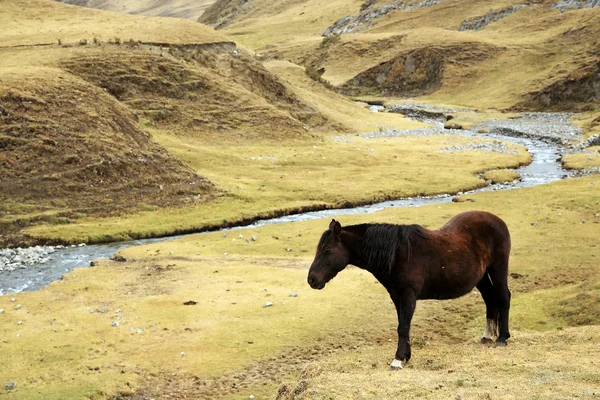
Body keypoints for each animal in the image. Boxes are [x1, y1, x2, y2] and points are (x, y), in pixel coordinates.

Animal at [310, 211, 510, 370]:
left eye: (327, 251)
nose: (311, 279)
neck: (397, 255)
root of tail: (497, 220)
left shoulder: (408, 296)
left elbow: (403, 326)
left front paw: (398, 360)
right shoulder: (397, 297)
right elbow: (402, 326)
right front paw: (406, 356)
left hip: (498, 269)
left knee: (503, 297)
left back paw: (502, 338)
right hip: (481, 277)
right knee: (490, 298)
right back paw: (487, 336)